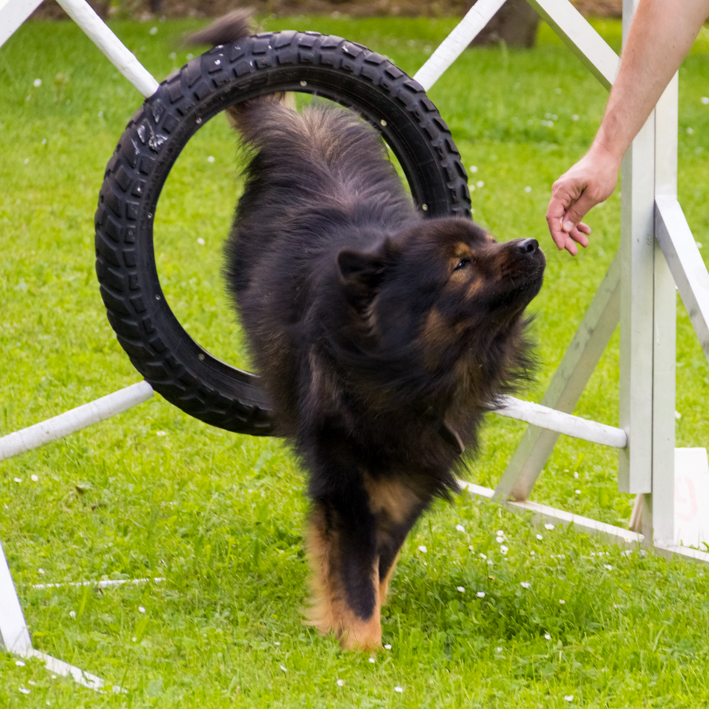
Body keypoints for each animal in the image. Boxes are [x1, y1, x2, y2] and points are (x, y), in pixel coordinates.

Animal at [191, 13, 544, 648]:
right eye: (461, 264)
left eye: (489, 241)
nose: (531, 244)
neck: (416, 372)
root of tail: (300, 129)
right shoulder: (349, 478)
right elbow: (355, 575)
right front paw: (359, 648)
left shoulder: (412, 476)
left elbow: (379, 563)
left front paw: (355, 627)